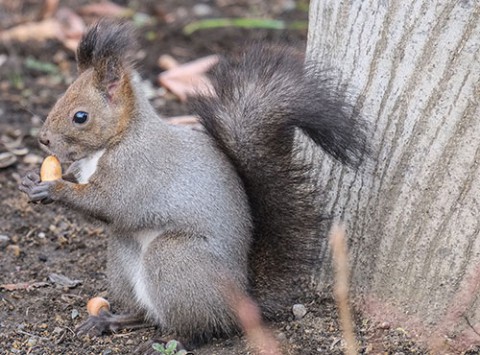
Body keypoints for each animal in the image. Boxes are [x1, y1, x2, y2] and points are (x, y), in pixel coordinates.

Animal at [17, 20, 364, 350]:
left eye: (80, 116)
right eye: (60, 97)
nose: (43, 139)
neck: (118, 139)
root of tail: (241, 302)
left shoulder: (137, 170)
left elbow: (109, 203)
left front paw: (53, 190)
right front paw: (31, 180)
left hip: (174, 259)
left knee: (203, 328)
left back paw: (177, 339)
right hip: (122, 256)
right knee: (146, 312)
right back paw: (110, 320)